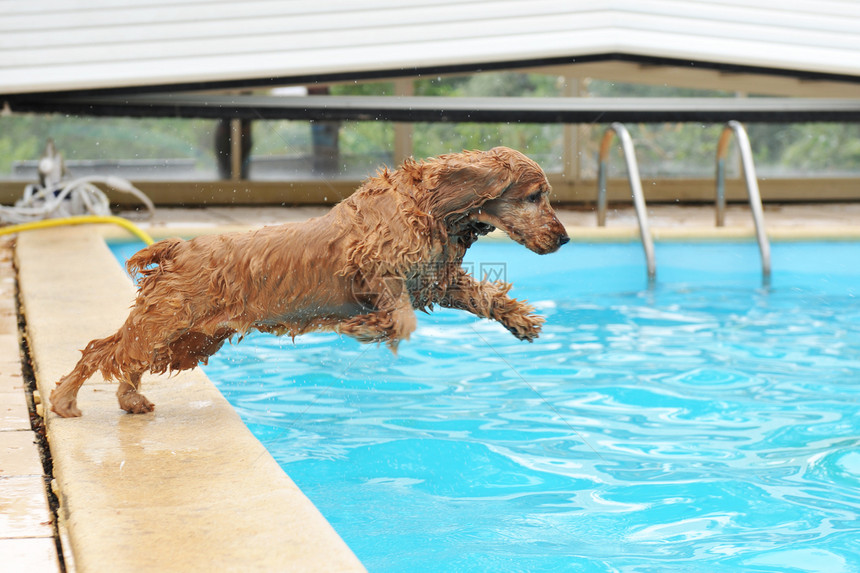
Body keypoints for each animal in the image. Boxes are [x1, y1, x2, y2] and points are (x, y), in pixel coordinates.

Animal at [48, 147, 572, 416]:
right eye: (535, 196)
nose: (565, 238)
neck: (433, 205)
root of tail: (179, 247)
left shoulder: (434, 281)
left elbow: (483, 295)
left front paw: (522, 321)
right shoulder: (376, 266)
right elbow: (399, 318)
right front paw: (367, 328)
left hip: (188, 341)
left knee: (128, 359)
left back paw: (130, 398)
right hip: (169, 323)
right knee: (100, 349)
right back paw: (64, 399)